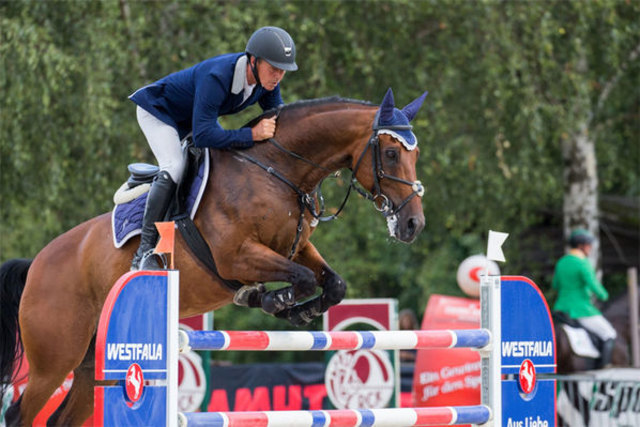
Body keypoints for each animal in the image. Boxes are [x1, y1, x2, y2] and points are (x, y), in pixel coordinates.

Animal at [1, 88, 430, 426]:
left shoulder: (296, 247)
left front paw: (296, 308)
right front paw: (272, 300)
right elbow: (302, 279)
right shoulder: (236, 257)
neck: (277, 170)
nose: (413, 225)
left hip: (92, 365)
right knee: (21, 413)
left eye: (415, 154)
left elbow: (332, 283)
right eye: (391, 153)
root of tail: (37, 264)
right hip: (54, 360)